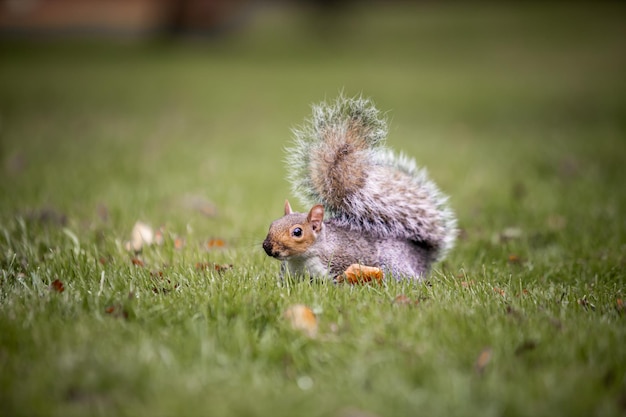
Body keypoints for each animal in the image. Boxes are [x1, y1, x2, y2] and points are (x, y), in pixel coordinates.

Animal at [260, 95, 456, 280]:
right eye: (273, 224)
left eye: (297, 232)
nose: (267, 246)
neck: (301, 260)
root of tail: (421, 255)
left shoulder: (341, 260)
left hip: (392, 264)